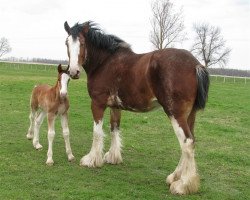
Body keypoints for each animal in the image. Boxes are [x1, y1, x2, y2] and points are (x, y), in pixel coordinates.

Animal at [63, 21, 209, 195]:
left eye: (83, 43)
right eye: (66, 43)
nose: (73, 72)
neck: (105, 62)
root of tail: (196, 64)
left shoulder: (97, 104)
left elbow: (97, 133)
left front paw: (91, 160)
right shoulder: (115, 106)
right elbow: (114, 129)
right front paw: (113, 157)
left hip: (176, 114)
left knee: (186, 142)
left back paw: (182, 185)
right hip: (189, 115)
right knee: (189, 142)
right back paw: (175, 177)